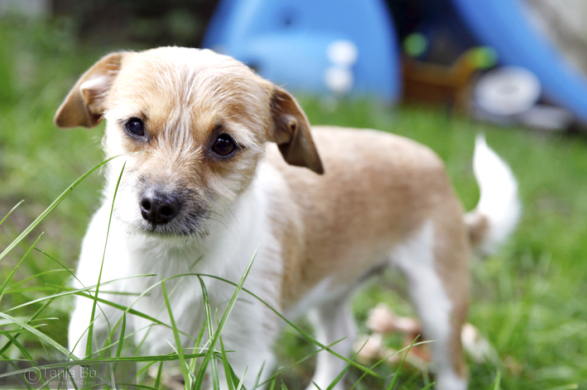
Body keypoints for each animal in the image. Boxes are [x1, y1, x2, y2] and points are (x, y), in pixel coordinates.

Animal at [55, 46, 520, 390]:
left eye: (223, 144)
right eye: (135, 126)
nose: (156, 206)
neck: (166, 259)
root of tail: (432, 162)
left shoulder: (241, 356)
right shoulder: (92, 331)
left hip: (438, 301)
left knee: (453, 368)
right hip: (335, 291)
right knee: (342, 341)